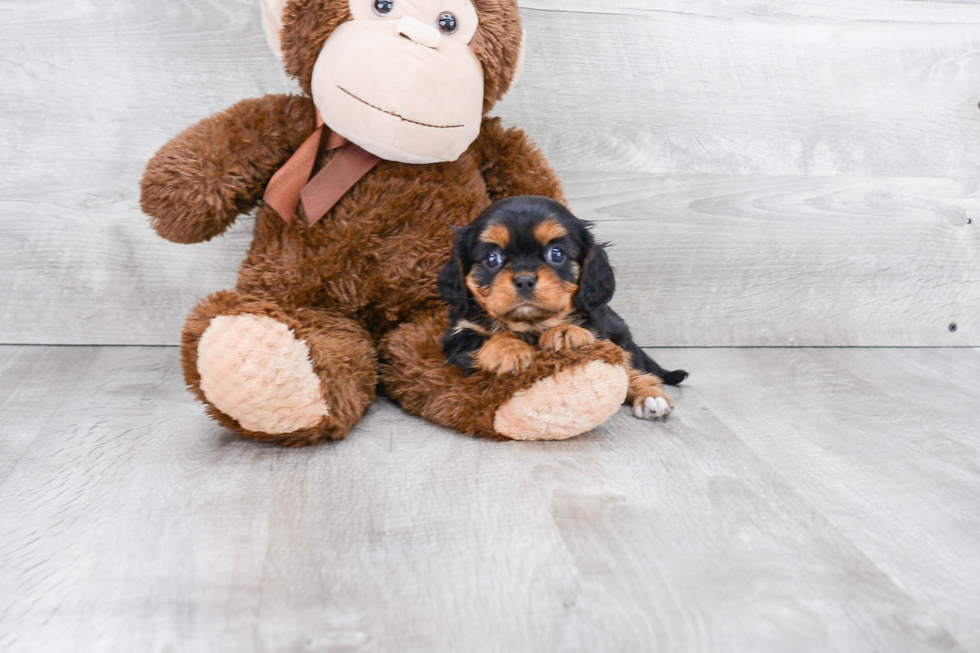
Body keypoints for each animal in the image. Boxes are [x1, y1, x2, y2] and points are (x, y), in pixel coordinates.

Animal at [440, 195, 684, 418]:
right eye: (492, 259)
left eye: (556, 254)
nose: (524, 280)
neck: (530, 325)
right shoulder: (456, 335)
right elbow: (479, 337)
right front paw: (509, 349)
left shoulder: (601, 329)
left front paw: (566, 332)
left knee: (631, 370)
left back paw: (651, 396)